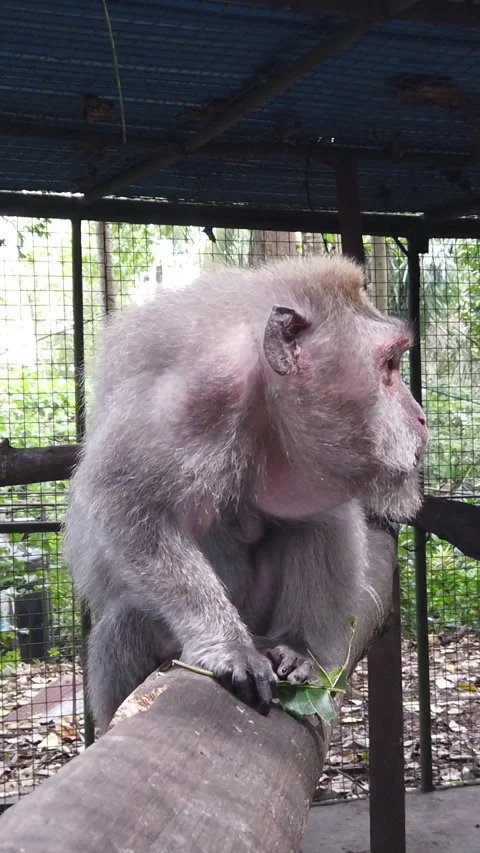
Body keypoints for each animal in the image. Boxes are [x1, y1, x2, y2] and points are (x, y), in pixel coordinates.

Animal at [63, 254, 428, 732]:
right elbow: (122, 500)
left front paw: (299, 647)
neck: (262, 393)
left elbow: (321, 516)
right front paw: (227, 647)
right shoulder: (194, 395)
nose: (421, 417)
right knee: (124, 624)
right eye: (388, 366)